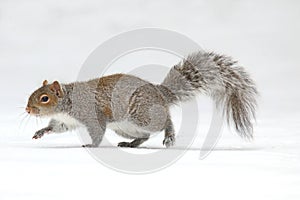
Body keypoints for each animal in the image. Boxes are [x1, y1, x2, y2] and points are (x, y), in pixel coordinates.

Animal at [25, 51, 258, 148]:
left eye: (44, 98)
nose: (28, 110)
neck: (68, 103)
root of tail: (160, 93)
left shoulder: (92, 116)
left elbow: (97, 132)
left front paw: (91, 145)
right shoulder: (66, 121)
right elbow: (56, 127)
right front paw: (40, 132)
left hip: (142, 116)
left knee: (165, 121)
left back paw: (169, 135)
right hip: (126, 128)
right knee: (145, 136)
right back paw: (132, 144)